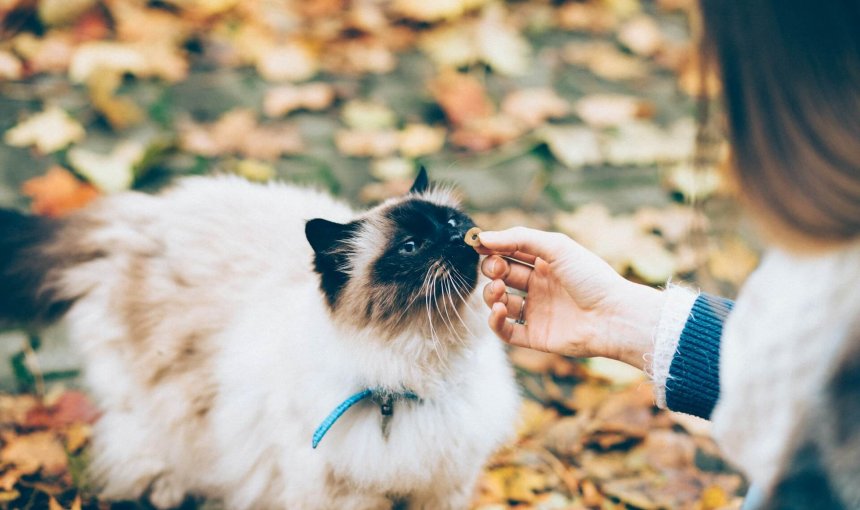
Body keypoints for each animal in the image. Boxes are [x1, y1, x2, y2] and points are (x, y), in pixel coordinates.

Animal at [0, 170, 516, 510]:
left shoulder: (443, 487)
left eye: (452, 223)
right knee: (140, 445)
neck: (419, 375)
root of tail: (140, 214)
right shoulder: (343, 497)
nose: (459, 238)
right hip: (163, 402)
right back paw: (168, 490)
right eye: (411, 248)